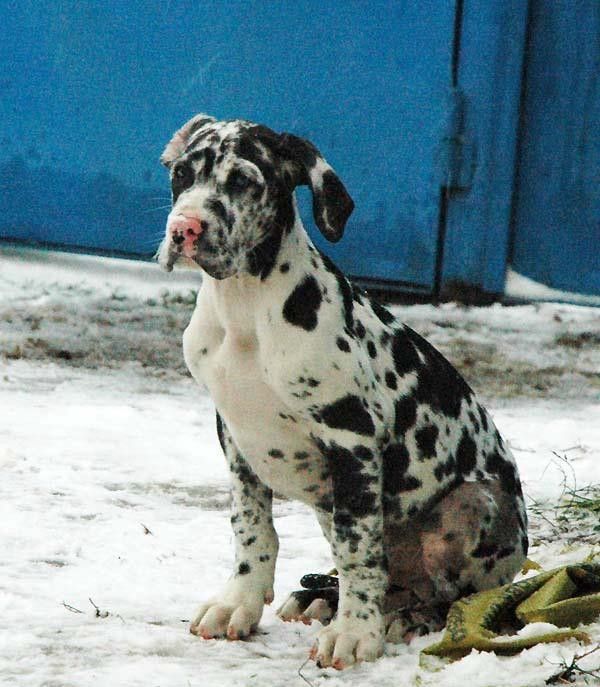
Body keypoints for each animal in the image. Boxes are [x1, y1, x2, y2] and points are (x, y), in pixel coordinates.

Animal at [156, 114, 528, 669]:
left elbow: (359, 552)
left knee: (452, 595)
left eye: (243, 181)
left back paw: (405, 617)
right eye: (182, 173)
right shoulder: (236, 436)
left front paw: (355, 633)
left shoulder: (350, 440)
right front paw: (239, 603)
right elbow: (251, 527)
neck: (245, 307)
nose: (185, 229)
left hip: (471, 504)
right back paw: (323, 598)